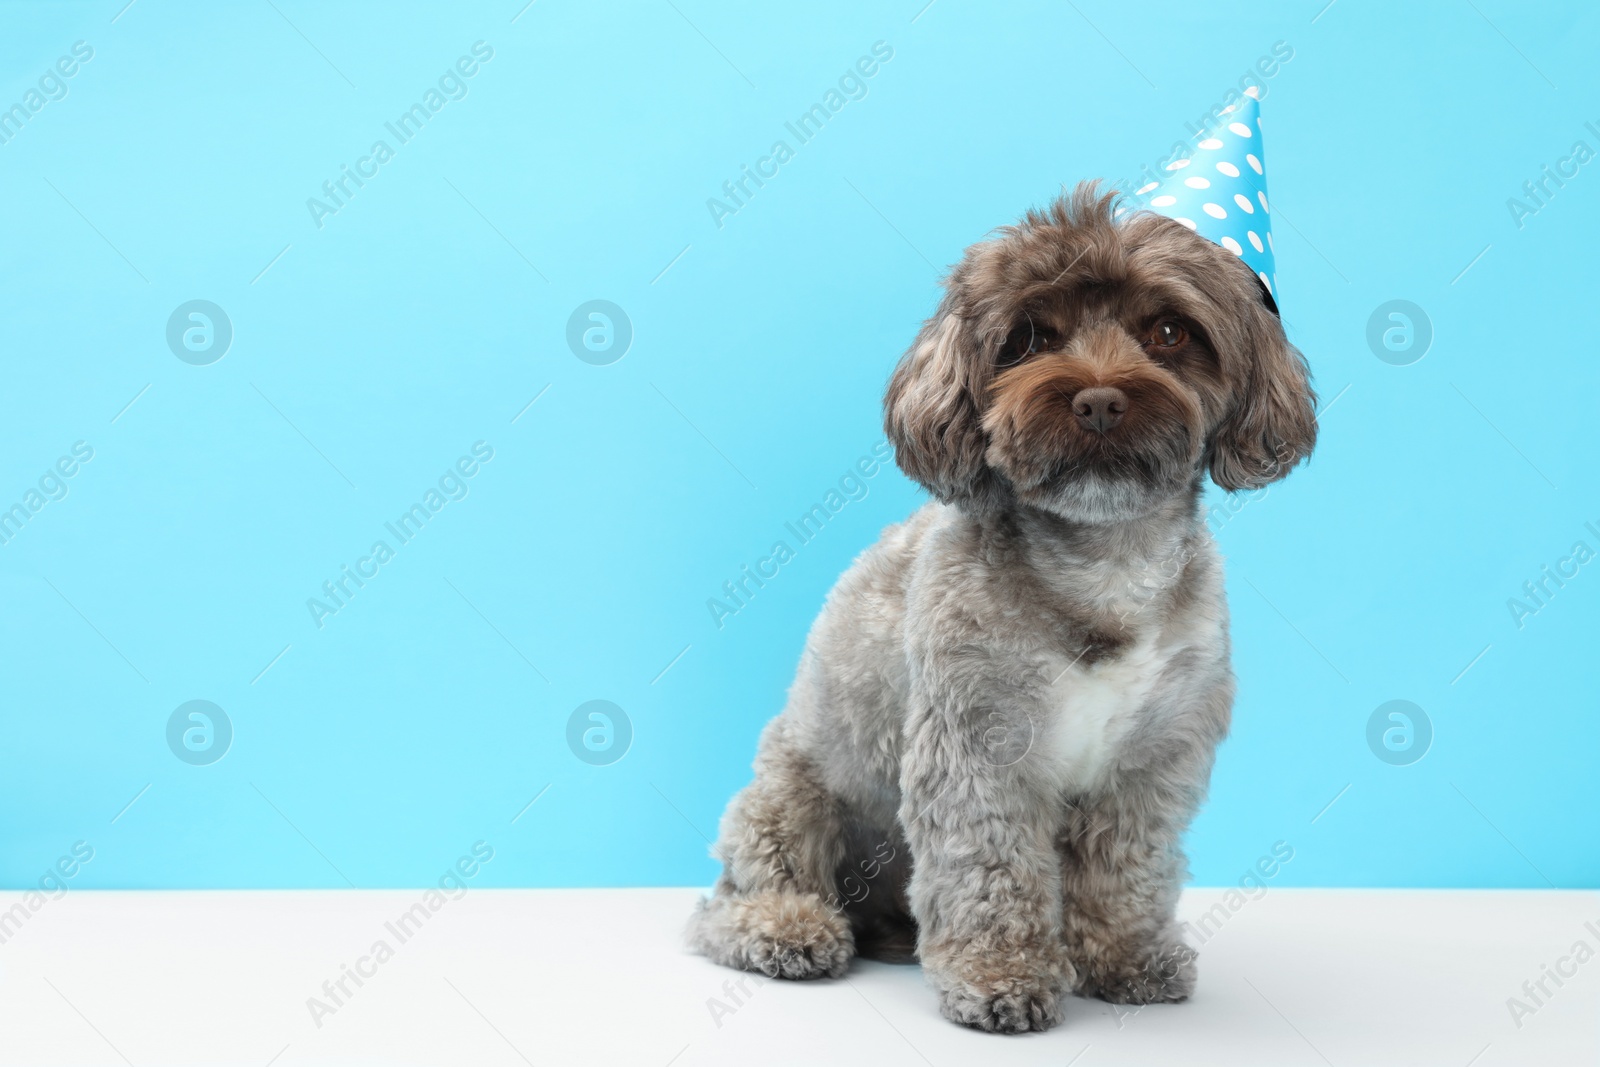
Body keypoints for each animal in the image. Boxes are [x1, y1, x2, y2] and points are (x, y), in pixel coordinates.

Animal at [681, 183, 1318, 1036]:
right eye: (1027, 338)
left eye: (1169, 331)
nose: (1099, 399)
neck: (1100, 563)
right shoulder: (978, 750)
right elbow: (991, 870)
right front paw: (1000, 974)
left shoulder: (1151, 760)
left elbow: (1125, 869)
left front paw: (1124, 957)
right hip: (788, 800)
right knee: (728, 903)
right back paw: (788, 927)